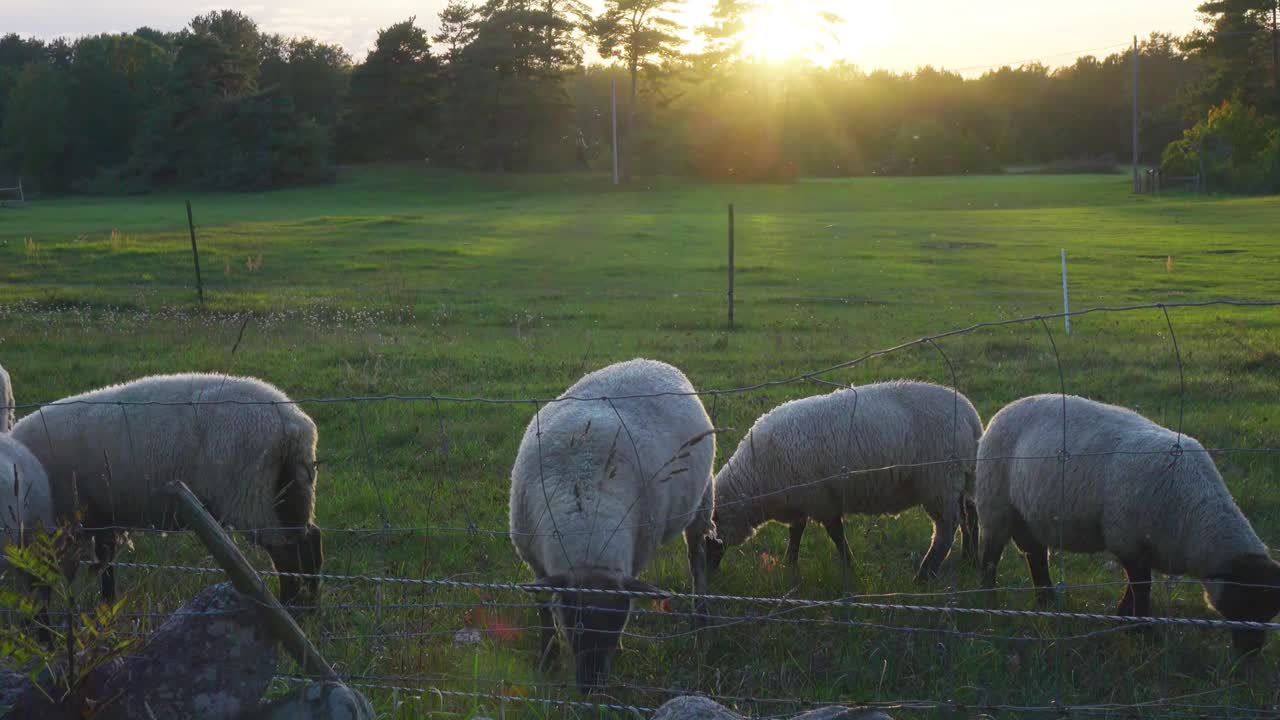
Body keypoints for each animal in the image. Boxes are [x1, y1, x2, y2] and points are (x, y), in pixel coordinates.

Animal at [11, 373, 324, 607]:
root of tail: (294, 424)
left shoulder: (71, 520)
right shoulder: (104, 515)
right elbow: (107, 567)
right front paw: (106, 607)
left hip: (251, 495)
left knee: (288, 552)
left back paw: (290, 604)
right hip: (291, 488)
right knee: (308, 541)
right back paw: (308, 605)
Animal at [509, 358, 716, 691]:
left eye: (619, 623)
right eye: (572, 619)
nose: (590, 686)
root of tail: (651, 361)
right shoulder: (536, 563)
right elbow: (542, 610)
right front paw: (548, 661)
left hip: (702, 504)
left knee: (696, 559)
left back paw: (701, 624)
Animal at [706, 380, 983, 586]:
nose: (710, 574)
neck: (755, 479)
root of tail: (970, 414)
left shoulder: (821, 499)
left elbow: (835, 534)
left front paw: (850, 565)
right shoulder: (801, 498)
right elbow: (797, 532)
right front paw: (790, 565)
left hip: (939, 480)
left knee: (947, 527)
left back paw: (924, 575)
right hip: (959, 477)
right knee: (969, 513)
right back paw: (968, 559)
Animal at [976, 394, 1280, 654]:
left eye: (1270, 612)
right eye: (1243, 601)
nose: (1248, 655)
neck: (1195, 514)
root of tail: (1007, 408)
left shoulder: (1144, 547)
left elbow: (1135, 588)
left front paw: (1124, 619)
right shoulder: (1127, 540)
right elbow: (1141, 588)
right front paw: (1143, 632)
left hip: (1029, 516)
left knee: (1036, 556)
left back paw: (1047, 602)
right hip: (995, 505)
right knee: (990, 559)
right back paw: (989, 603)